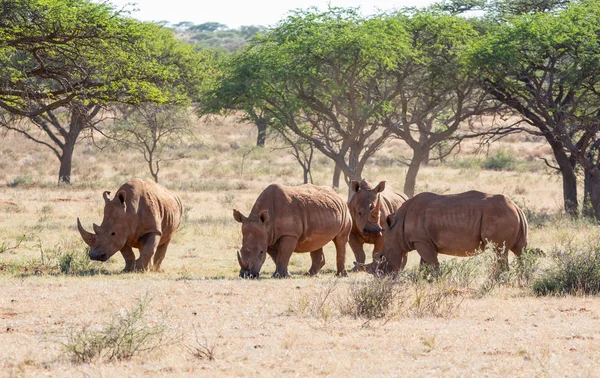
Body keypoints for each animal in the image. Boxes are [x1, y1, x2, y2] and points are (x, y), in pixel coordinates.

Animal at [358, 192, 528, 274]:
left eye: (381, 256)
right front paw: (421, 280)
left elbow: (432, 263)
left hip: (499, 215)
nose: (380, 277)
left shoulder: (421, 241)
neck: (397, 227)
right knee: (520, 251)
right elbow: (424, 264)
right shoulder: (423, 241)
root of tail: (516, 207)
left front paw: (436, 281)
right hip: (511, 215)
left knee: (500, 251)